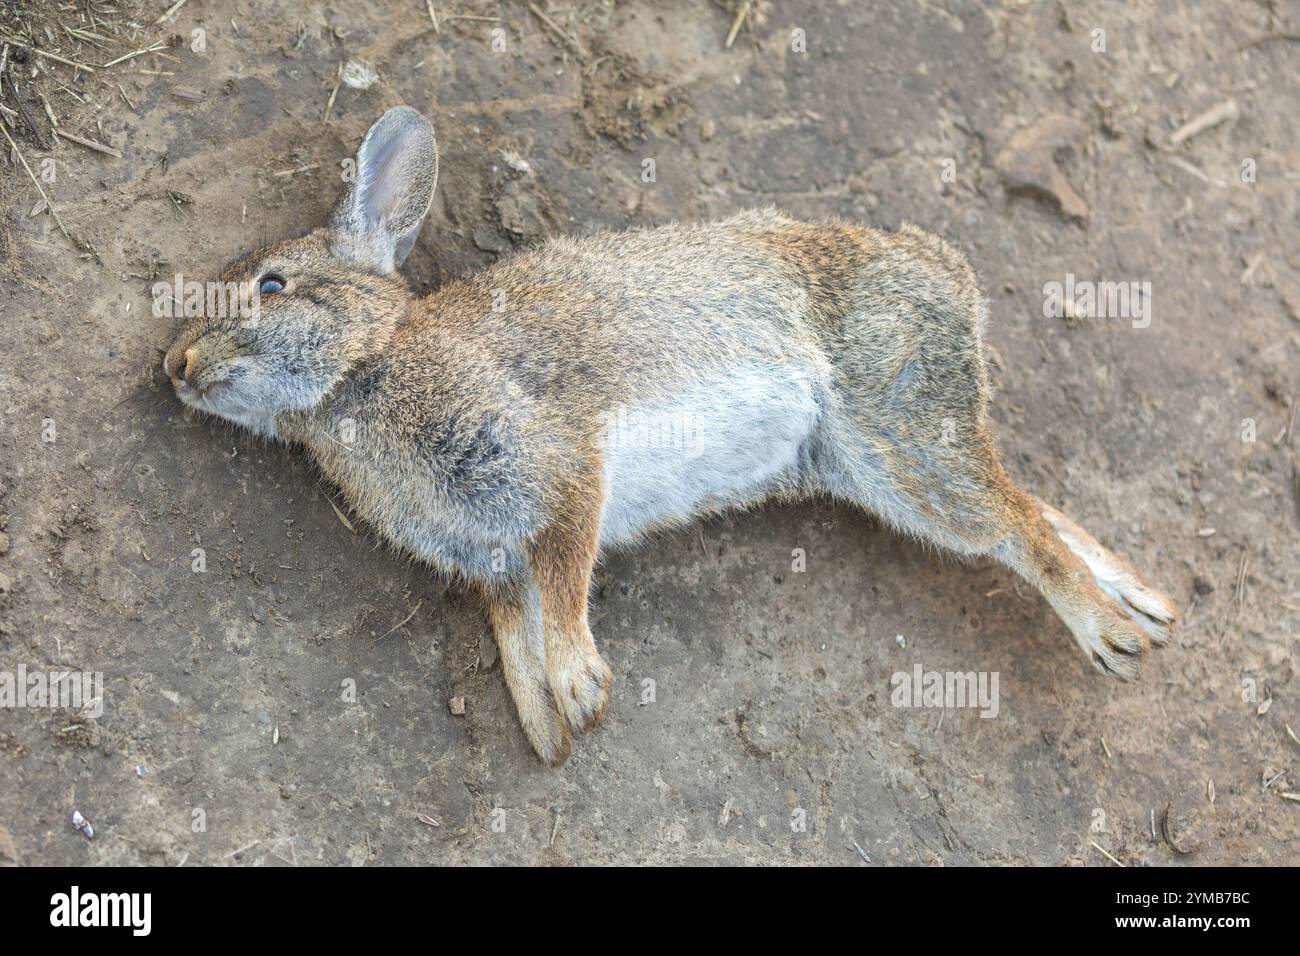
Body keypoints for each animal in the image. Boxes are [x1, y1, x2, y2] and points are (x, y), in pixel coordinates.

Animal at [163, 107, 1178, 766]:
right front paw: (545, 728)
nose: (173, 365)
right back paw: (1146, 602)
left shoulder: (559, 465)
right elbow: (513, 627)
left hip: (899, 437)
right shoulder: (489, 556)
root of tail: (947, 275)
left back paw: (1112, 635)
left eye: (271, 287)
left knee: (1015, 522)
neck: (364, 365)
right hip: (876, 467)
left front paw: (578, 684)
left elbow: (564, 581)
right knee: (1024, 502)